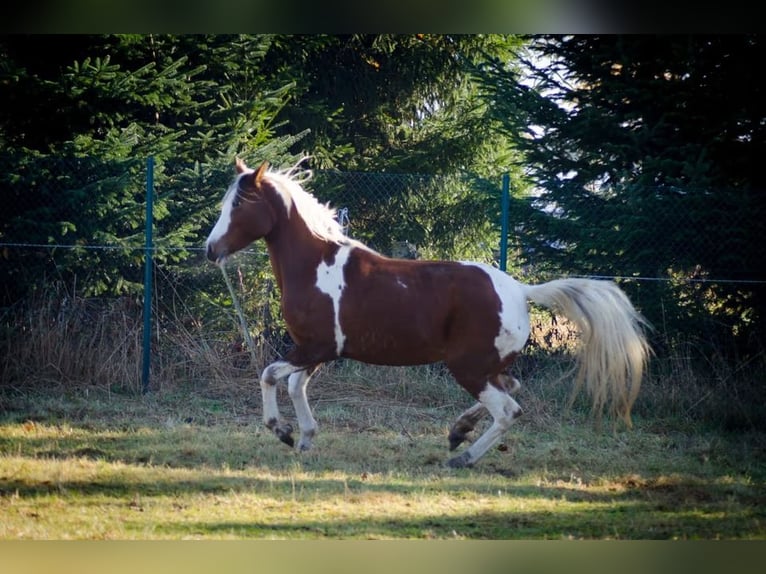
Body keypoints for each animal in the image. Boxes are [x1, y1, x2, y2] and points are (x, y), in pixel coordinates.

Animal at [207, 160, 652, 470]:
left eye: (239, 205)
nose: (211, 250)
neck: (316, 266)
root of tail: (520, 290)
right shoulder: (317, 351)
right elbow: (295, 384)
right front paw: (304, 439)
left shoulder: (316, 347)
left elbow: (270, 375)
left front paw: (282, 432)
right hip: (486, 366)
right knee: (513, 386)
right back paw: (457, 433)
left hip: (467, 367)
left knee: (509, 409)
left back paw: (462, 457)